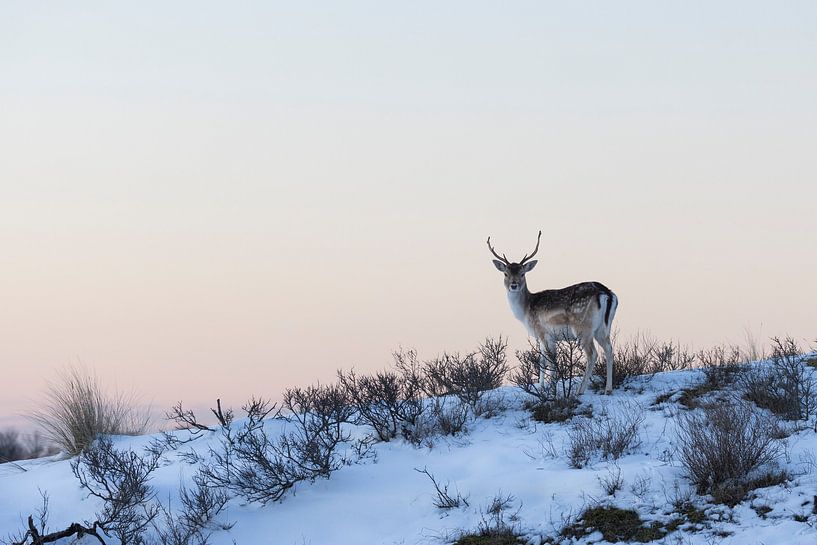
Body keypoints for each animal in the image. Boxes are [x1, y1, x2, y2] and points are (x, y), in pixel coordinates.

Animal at [484, 232, 620, 394]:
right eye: (505, 273)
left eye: (523, 273)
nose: (514, 285)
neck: (525, 310)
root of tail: (606, 293)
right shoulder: (551, 337)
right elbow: (543, 360)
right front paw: (543, 387)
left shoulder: (543, 332)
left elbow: (548, 360)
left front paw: (551, 388)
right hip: (604, 327)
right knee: (609, 350)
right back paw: (608, 389)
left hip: (583, 327)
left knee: (592, 354)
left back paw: (579, 391)